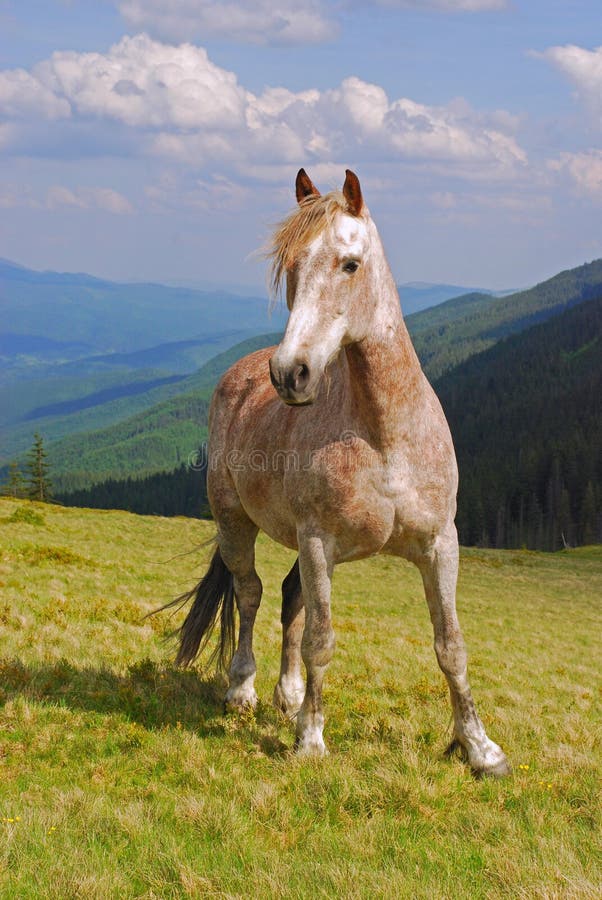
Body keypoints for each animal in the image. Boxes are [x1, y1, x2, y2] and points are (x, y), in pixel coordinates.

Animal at [169, 172, 506, 776]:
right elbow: (321, 640)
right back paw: (243, 689)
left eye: (350, 264)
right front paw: (310, 739)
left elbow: (451, 645)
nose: (290, 373)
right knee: (251, 593)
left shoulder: (440, 545)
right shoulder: (318, 542)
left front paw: (479, 747)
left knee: (287, 598)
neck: (385, 437)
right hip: (236, 524)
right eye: (291, 268)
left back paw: (289, 695)